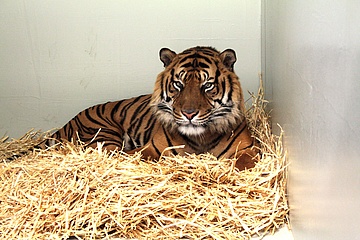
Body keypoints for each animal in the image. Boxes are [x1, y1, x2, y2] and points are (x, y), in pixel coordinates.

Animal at [43, 46, 258, 171]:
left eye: (207, 86)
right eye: (178, 84)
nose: (188, 114)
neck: (201, 138)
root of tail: (67, 123)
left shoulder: (248, 150)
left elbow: (243, 165)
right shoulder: (151, 148)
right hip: (103, 134)